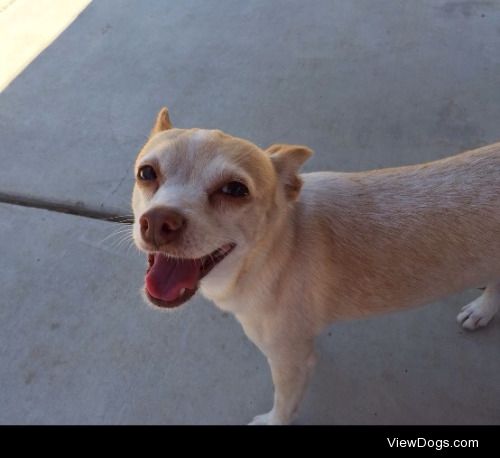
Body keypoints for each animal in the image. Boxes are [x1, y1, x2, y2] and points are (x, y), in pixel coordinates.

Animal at [132, 107, 500, 426]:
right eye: (146, 173)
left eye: (235, 189)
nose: (159, 222)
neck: (278, 246)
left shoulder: (289, 361)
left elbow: (284, 404)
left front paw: (272, 422)